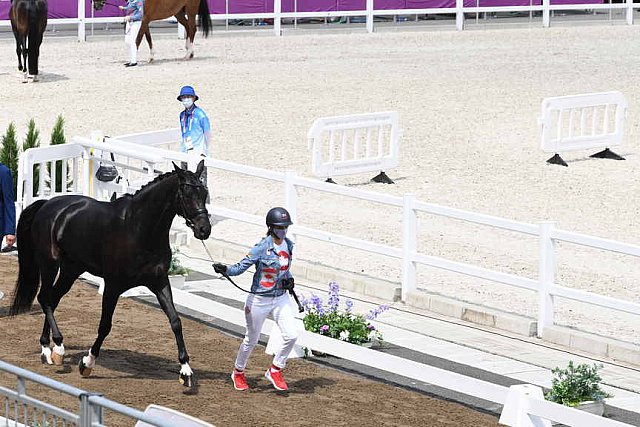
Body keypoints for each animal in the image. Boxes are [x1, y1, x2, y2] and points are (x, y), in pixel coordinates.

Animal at [10, 160, 210, 388]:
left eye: (204, 193)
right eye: (186, 194)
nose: (204, 230)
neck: (139, 228)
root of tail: (47, 204)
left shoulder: (159, 282)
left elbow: (175, 321)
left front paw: (185, 370)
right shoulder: (113, 286)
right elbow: (105, 325)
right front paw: (87, 363)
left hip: (71, 269)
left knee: (52, 299)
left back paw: (50, 351)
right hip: (49, 264)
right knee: (45, 298)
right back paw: (57, 346)